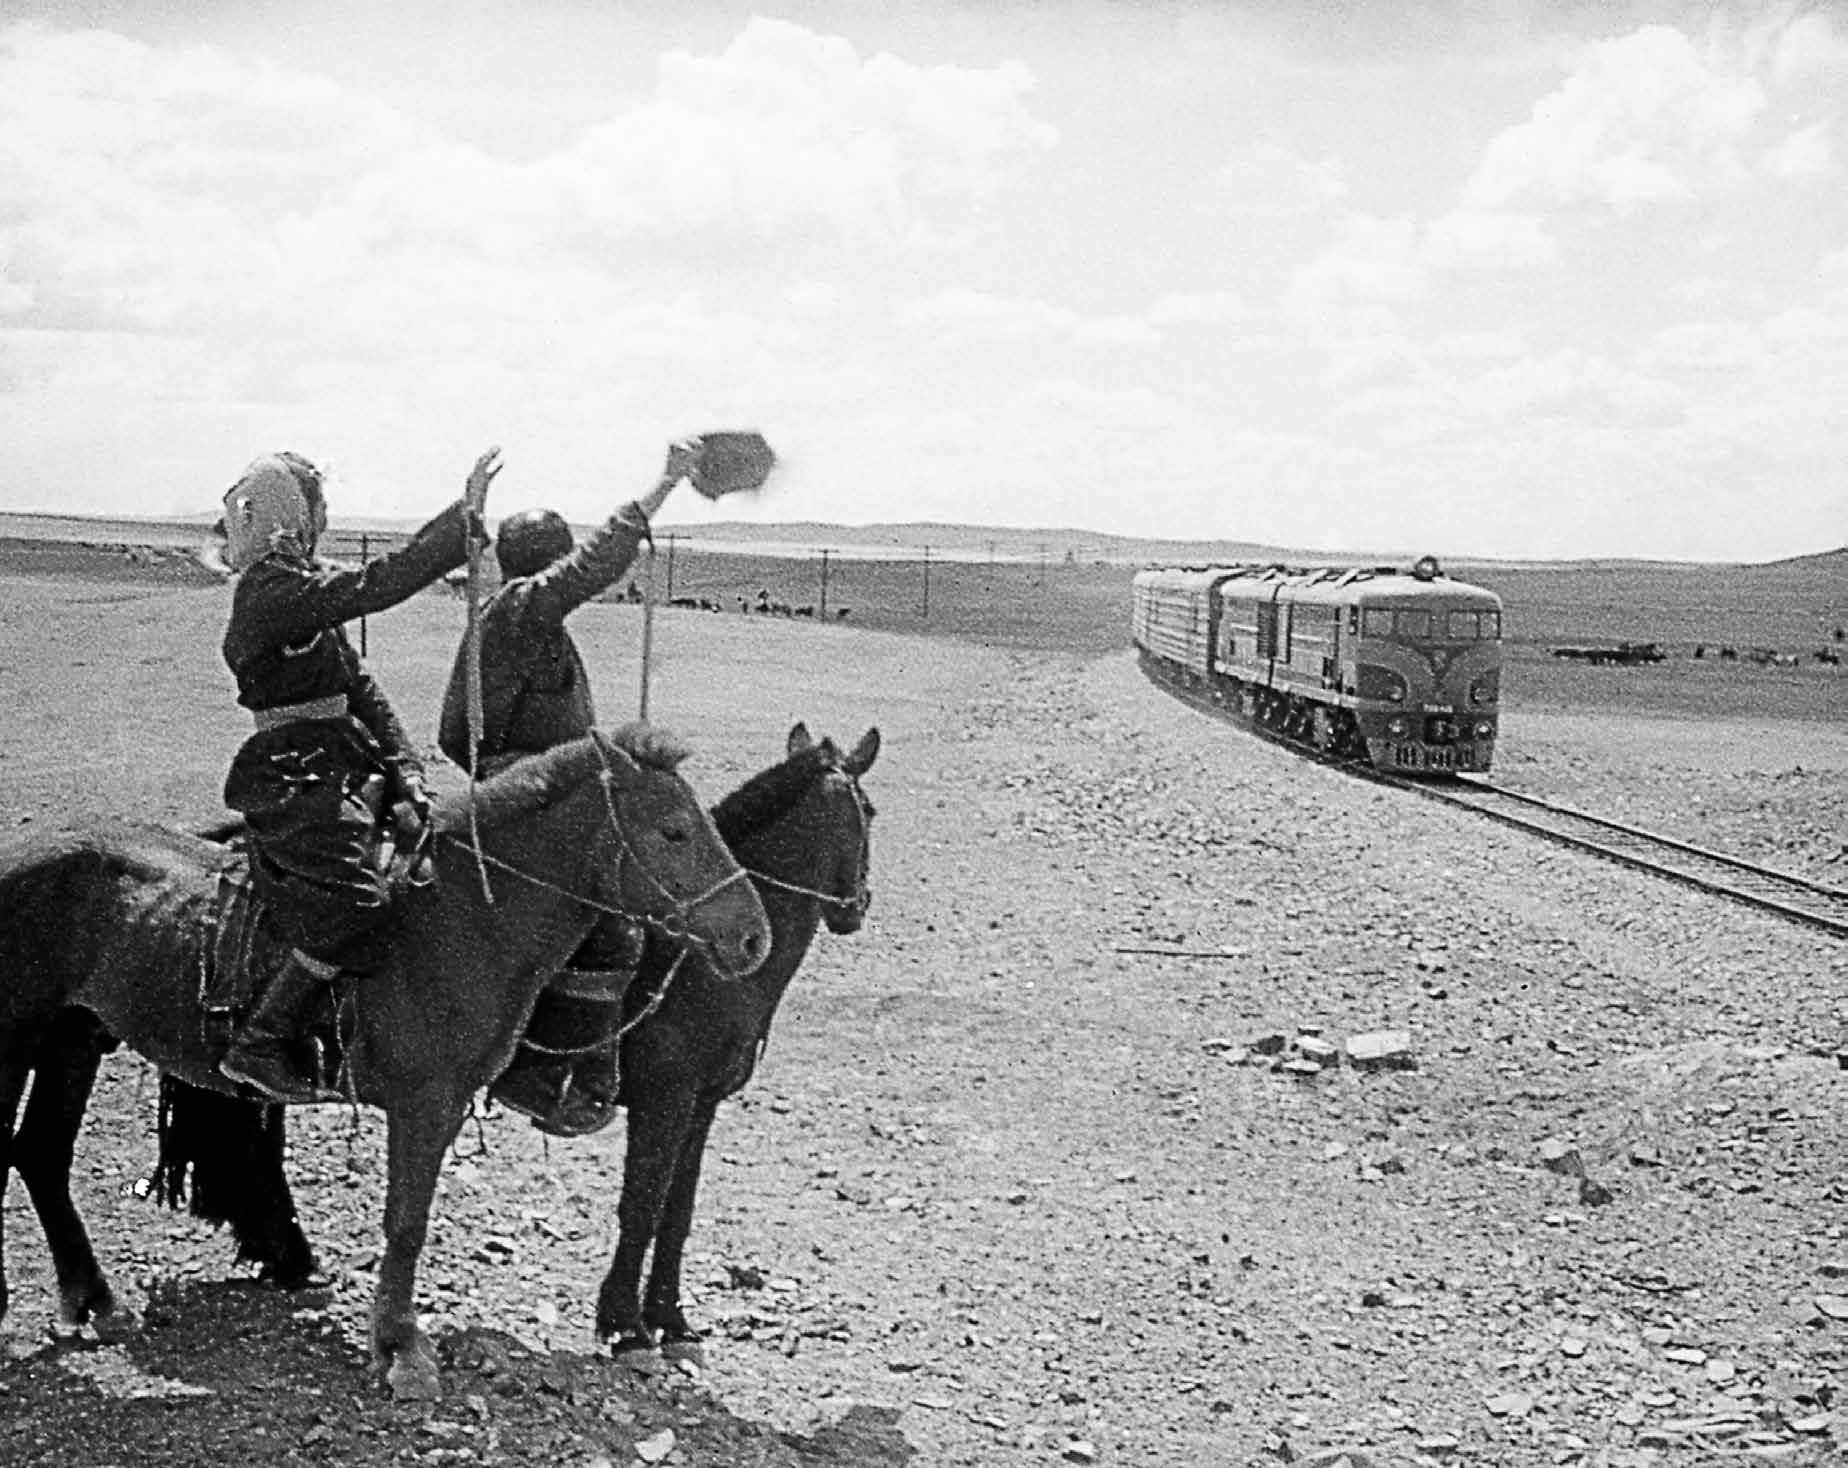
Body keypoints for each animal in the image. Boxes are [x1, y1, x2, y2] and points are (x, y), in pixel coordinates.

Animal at [0, 721, 765, 1397]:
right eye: (673, 831)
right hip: (15, 1039)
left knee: (41, 1155)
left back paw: (98, 1304)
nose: (753, 937)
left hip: (74, 1039)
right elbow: (406, 1223)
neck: (464, 920)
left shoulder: (446, 1106)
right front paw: (401, 1352)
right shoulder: (422, 1103)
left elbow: (411, 1219)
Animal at [595, 717, 875, 1353]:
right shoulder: (664, 1100)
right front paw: (623, 1321)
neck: (706, 965)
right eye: (870, 811)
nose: (857, 906)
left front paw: (668, 1316)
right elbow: (642, 1203)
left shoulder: (701, 1106)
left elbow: (677, 1209)